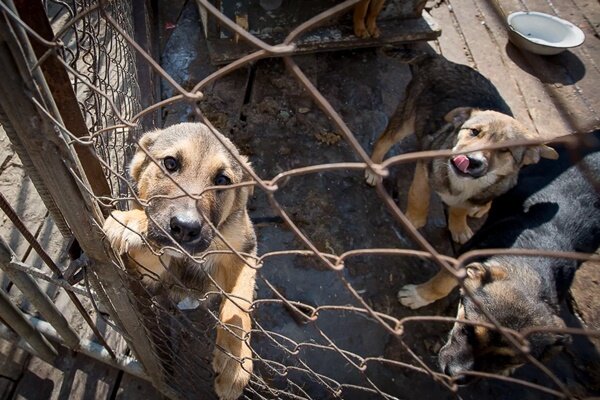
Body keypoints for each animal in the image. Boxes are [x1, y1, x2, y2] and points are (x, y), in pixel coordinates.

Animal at [102, 122, 255, 400]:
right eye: (170, 163)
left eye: (222, 180)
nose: (185, 228)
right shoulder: (148, 273)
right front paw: (135, 220)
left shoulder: (245, 250)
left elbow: (237, 305)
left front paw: (234, 361)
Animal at [366, 54, 556, 244]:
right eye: (474, 131)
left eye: (505, 150)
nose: (471, 161)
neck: (463, 183)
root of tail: (441, 60)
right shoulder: (425, 165)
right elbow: (420, 194)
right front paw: (414, 220)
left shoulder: (471, 197)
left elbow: (461, 208)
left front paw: (458, 227)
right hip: (407, 116)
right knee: (383, 141)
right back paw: (374, 169)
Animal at [404, 133, 600, 380]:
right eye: (468, 330)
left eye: (504, 358)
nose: (455, 375)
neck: (531, 263)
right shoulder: (468, 253)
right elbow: (441, 284)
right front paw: (417, 296)